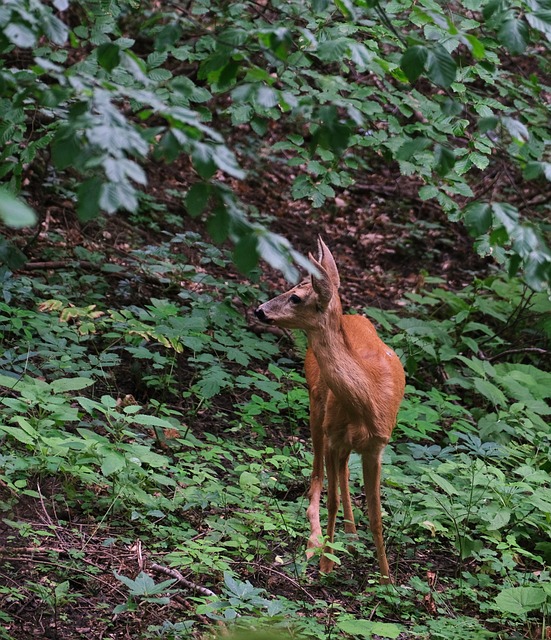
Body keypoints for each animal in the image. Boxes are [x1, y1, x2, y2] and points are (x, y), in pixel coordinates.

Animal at [254, 238, 406, 584]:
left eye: (296, 296)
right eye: (291, 287)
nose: (260, 310)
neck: (367, 401)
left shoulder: (377, 446)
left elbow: (376, 515)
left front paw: (387, 580)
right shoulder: (334, 435)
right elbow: (333, 499)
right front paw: (326, 563)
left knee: (343, 471)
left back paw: (350, 536)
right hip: (315, 404)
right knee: (319, 473)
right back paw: (316, 542)